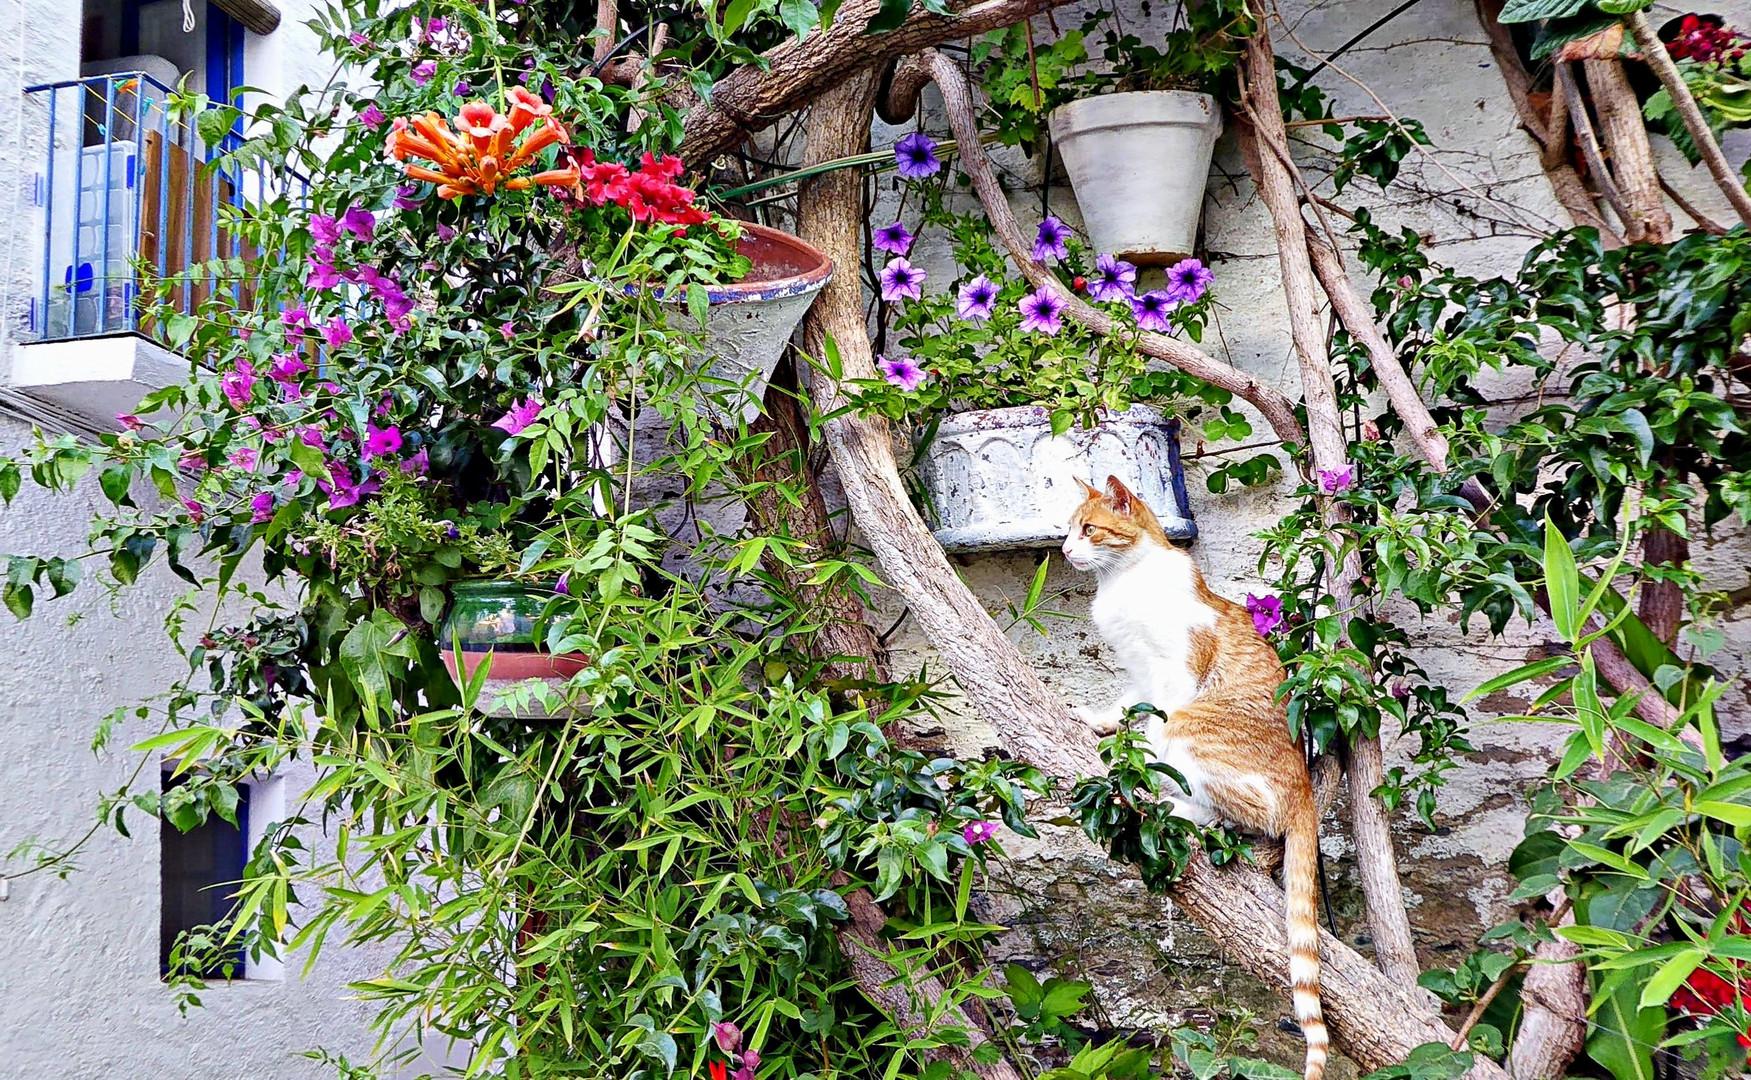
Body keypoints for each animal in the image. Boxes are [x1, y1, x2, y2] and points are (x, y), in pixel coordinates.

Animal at [1057, 476, 1330, 1078]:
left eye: (1088, 529)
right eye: (1066, 529)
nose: (1064, 550)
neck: (1124, 580)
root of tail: (1305, 786)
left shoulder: (1175, 674)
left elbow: (1150, 729)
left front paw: (1137, 763)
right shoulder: (1139, 676)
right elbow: (1126, 706)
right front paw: (1098, 722)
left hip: (1194, 726)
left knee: (1235, 809)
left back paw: (1179, 808)